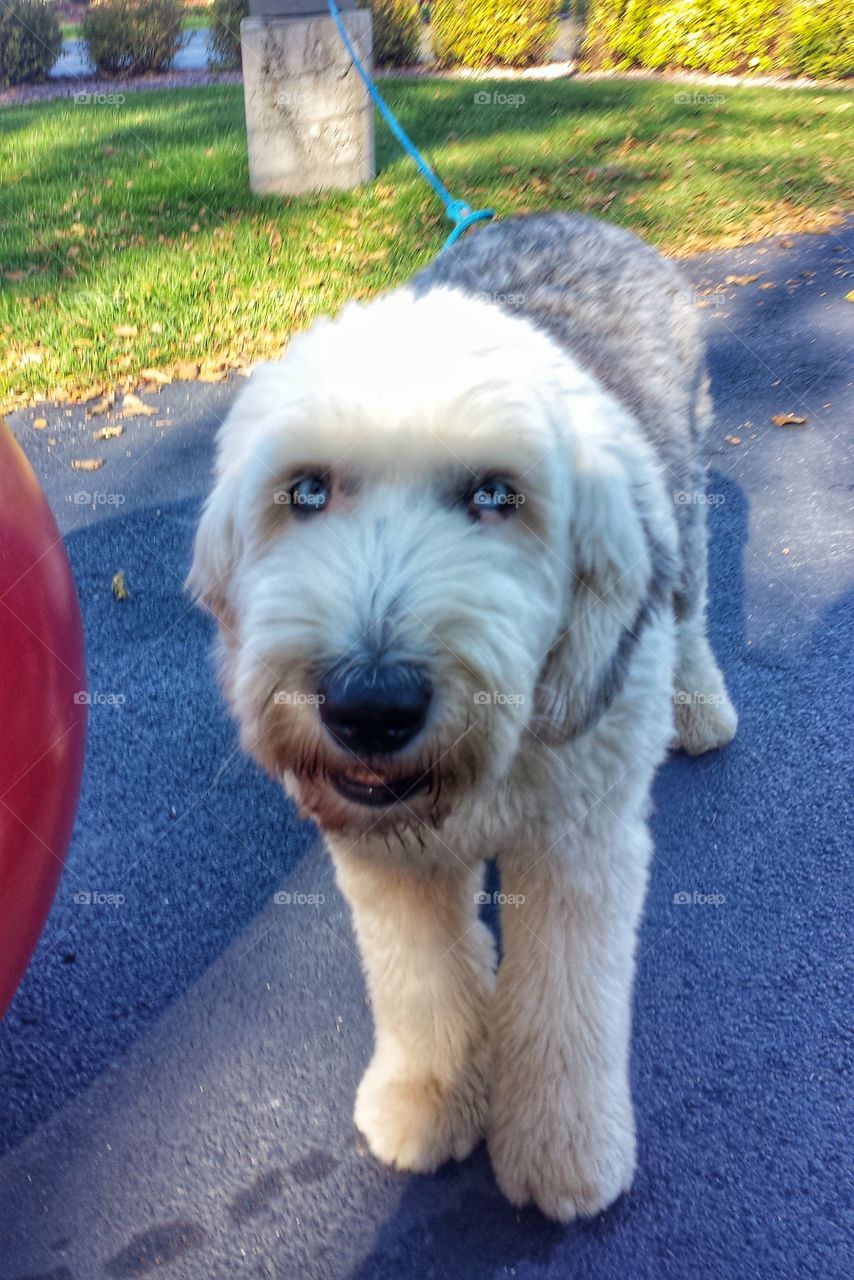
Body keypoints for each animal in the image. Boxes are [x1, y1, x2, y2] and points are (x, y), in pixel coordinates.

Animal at [190, 215, 737, 1223]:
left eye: (495, 494)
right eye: (307, 490)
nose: (369, 704)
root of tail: (579, 219)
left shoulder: (578, 843)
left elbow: (564, 1000)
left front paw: (564, 1151)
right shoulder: (383, 854)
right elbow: (421, 981)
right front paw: (428, 1099)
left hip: (684, 503)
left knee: (688, 608)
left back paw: (702, 703)